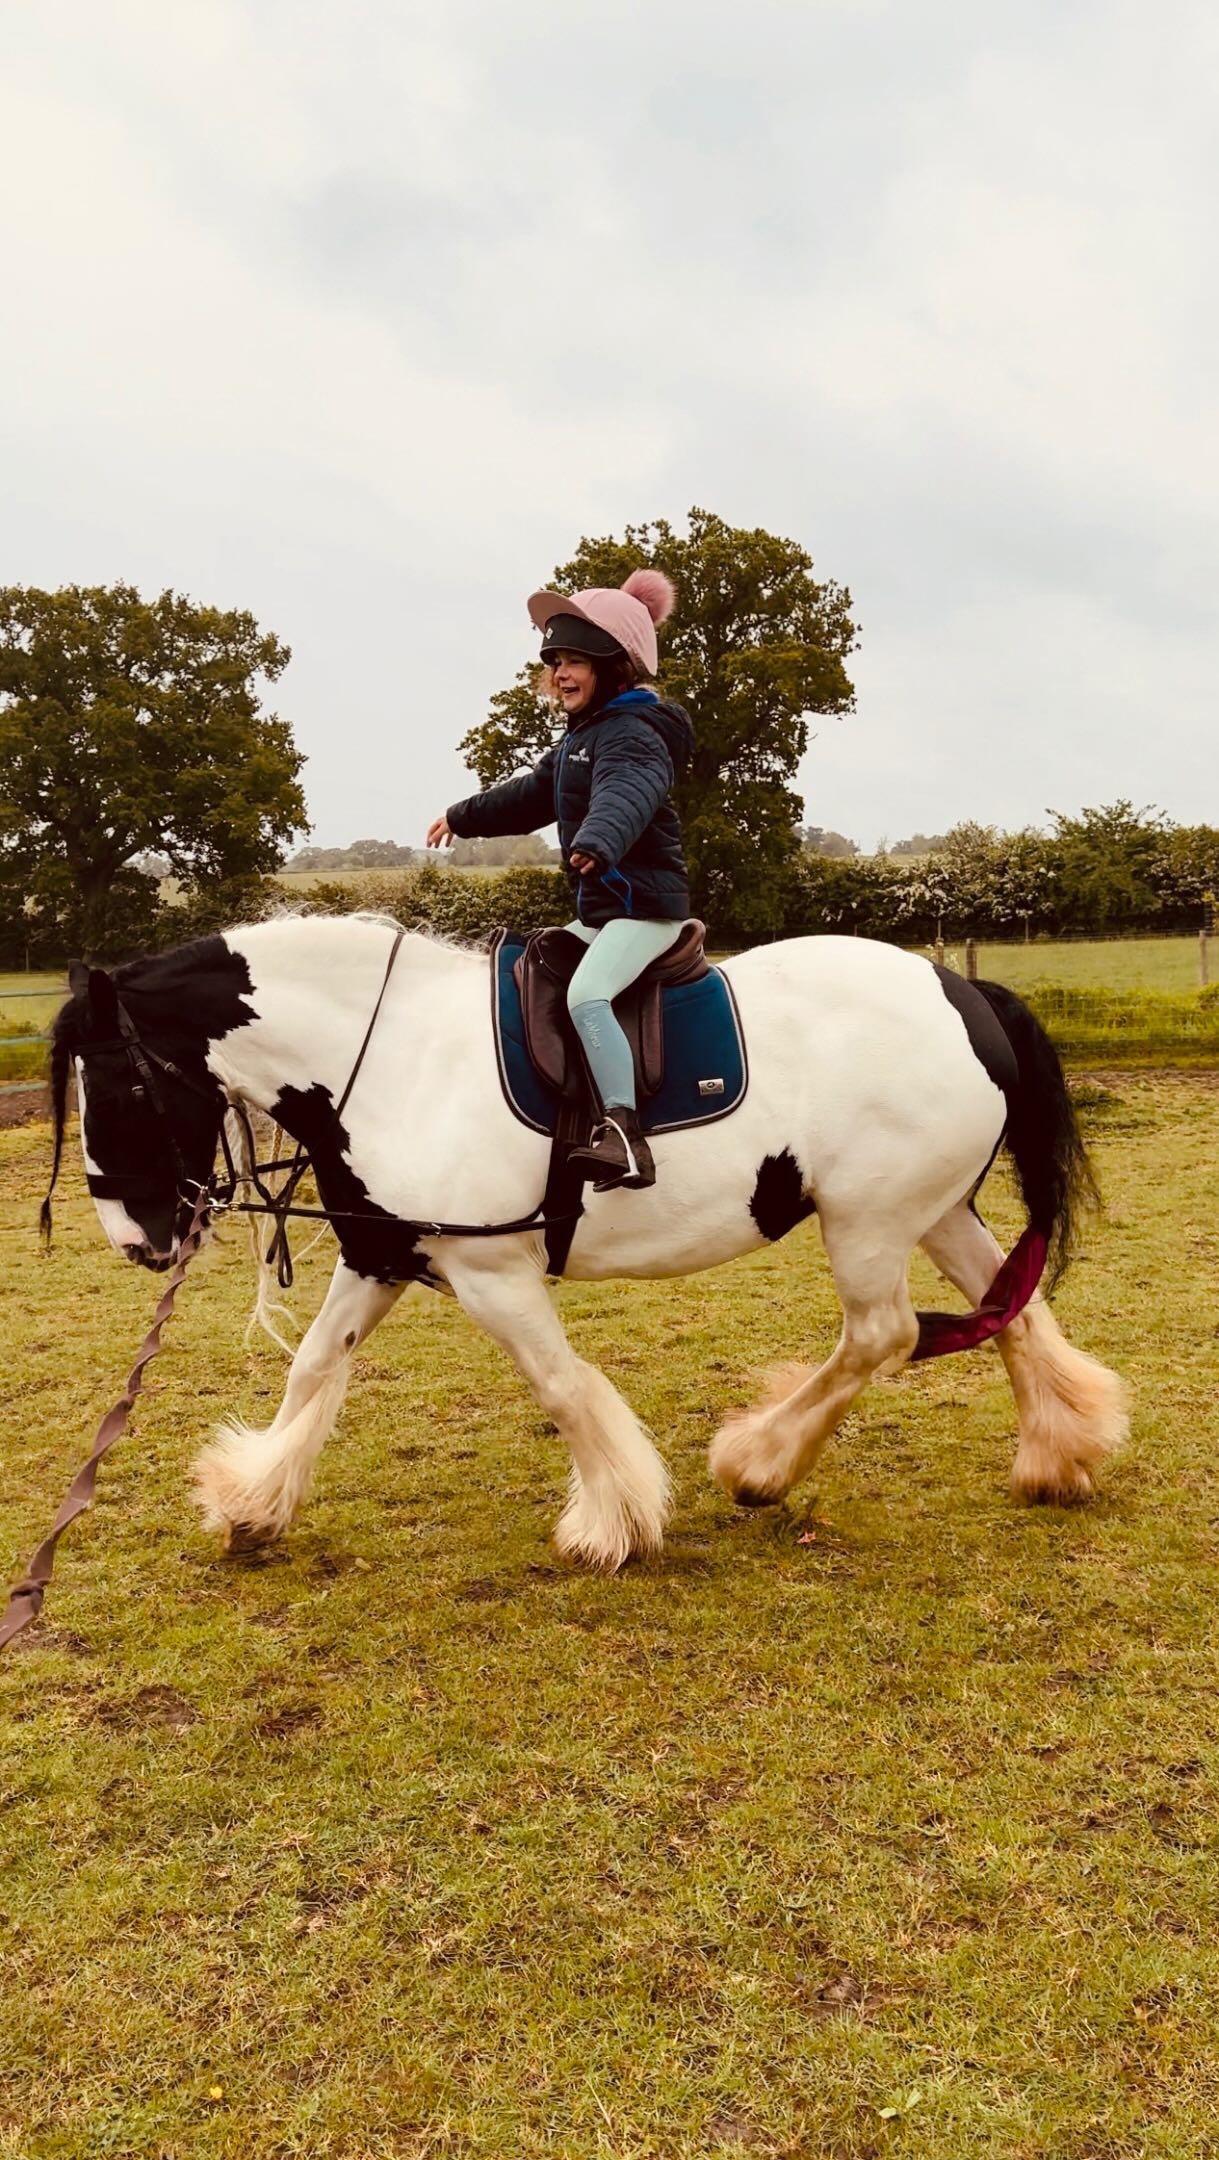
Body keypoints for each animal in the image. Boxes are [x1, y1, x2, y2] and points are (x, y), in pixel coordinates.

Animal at [46, 912, 1129, 1572]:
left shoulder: (491, 1273)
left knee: (882, 1337)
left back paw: (759, 1464)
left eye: (127, 1083)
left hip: (866, 1224)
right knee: (1008, 1307)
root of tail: (964, 993)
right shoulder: (382, 1257)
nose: (135, 1238)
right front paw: (253, 1503)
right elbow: (314, 1369)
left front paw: (614, 1524)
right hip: (932, 1211)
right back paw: (1058, 1452)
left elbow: (562, 1387)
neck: (394, 1060)